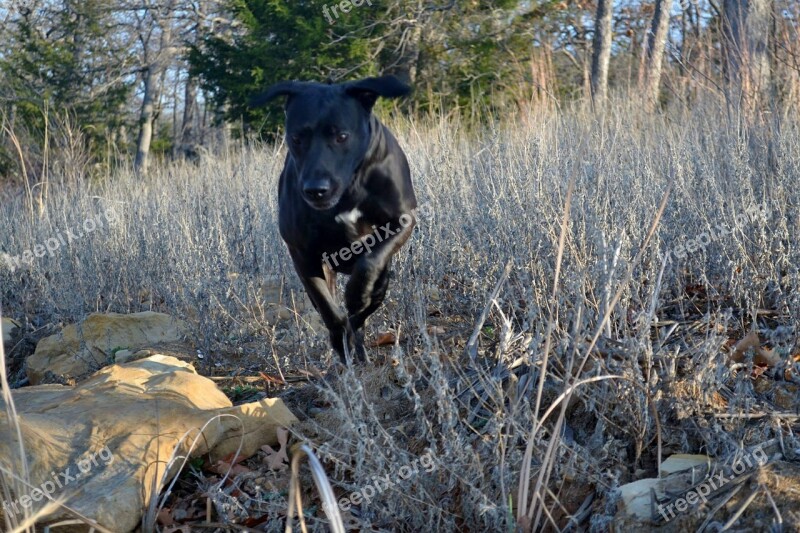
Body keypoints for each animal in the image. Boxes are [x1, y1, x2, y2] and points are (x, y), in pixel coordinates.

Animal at [255, 75, 418, 362]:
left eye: (342, 136)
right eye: (296, 138)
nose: (315, 189)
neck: (350, 188)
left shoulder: (402, 221)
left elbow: (369, 264)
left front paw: (356, 296)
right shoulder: (302, 254)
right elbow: (327, 306)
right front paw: (340, 339)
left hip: (383, 279)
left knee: (365, 308)